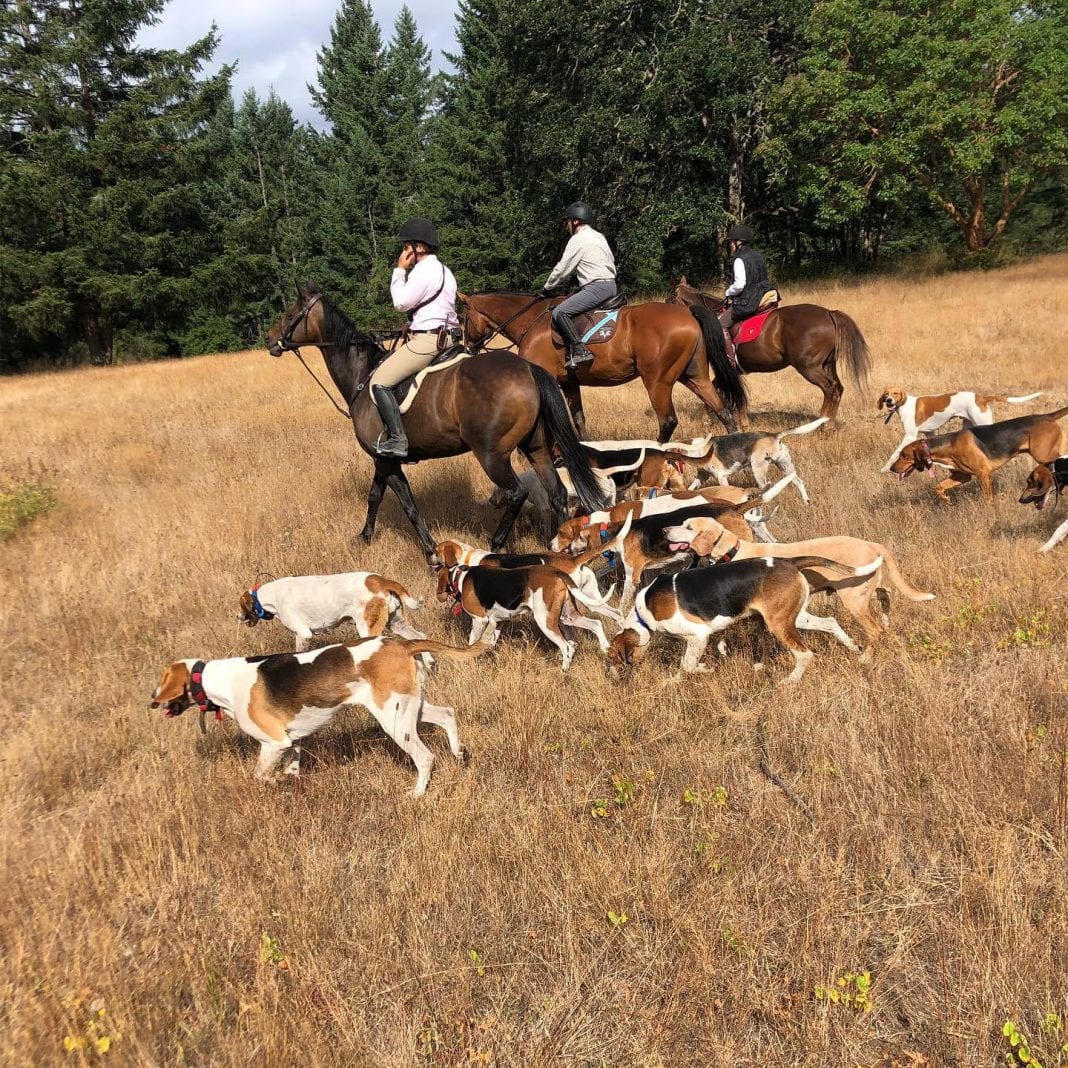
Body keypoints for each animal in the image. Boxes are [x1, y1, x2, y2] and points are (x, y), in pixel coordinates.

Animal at [262, 284, 606, 559]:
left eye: (291, 314)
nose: (270, 340)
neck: (363, 377)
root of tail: (527, 368)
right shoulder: (381, 459)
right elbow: (375, 496)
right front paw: (364, 537)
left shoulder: (387, 460)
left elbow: (409, 506)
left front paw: (430, 552)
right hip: (535, 447)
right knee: (556, 492)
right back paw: (558, 547)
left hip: (492, 455)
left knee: (516, 493)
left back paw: (495, 545)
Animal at [461, 290, 751, 440]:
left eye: (462, 317)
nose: (467, 347)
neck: (530, 320)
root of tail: (688, 313)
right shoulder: (569, 384)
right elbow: (578, 420)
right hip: (694, 376)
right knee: (724, 412)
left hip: (657, 381)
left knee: (668, 421)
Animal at [670, 277, 871, 427]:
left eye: (670, 300)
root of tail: (829, 313)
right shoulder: (730, 371)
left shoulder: (725, 369)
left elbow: (713, 393)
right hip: (827, 364)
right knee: (838, 388)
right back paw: (828, 424)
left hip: (809, 367)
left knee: (831, 389)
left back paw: (823, 425)